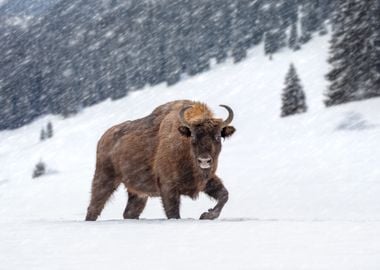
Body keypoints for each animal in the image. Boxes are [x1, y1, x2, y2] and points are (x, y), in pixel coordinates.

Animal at [85, 99, 235, 219]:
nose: (204, 160)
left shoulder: (207, 180)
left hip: (137, 192)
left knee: (130, 212)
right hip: (105, 178)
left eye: (217, 136)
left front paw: (206, 215)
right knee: (94, 207)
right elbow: (173, 213)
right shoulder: (168, 187)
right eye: (192, 136)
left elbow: (224, 195)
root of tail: (103, 138)